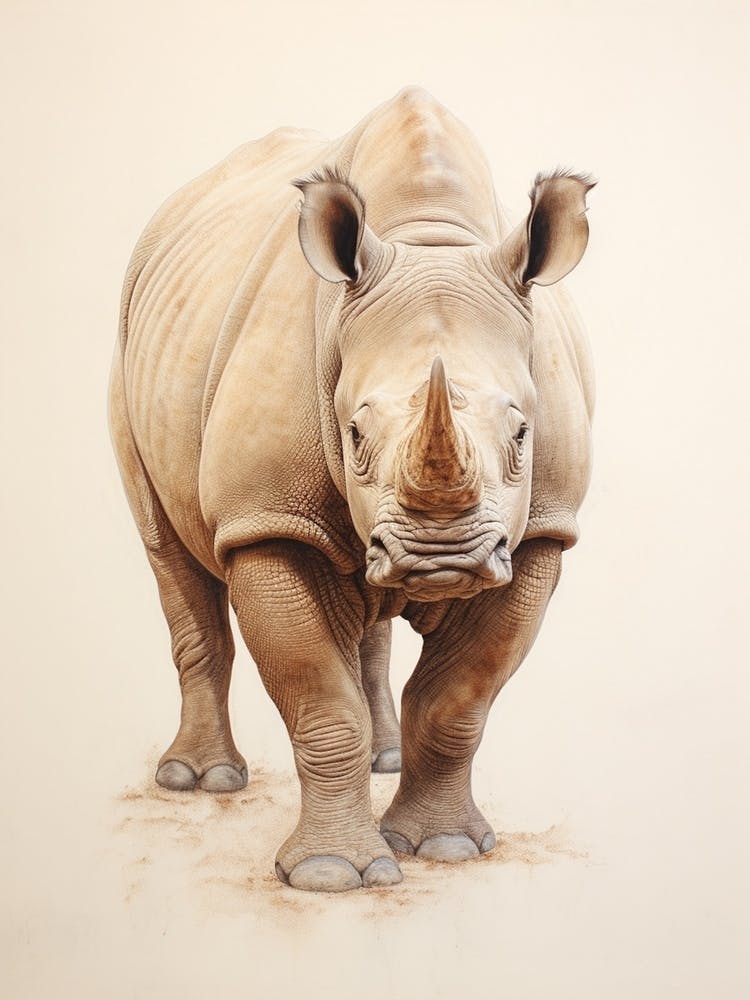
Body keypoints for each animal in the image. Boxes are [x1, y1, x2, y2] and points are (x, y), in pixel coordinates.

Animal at [109, 86, 594, 893]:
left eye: (523, 434)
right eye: (356, 436)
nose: (442, 559)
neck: (429, 241)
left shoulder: (542, 529)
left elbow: (459, 699)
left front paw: (444, 848)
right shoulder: (267, 517)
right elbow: (319, 697)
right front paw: (331, 874)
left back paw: (383, 761)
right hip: (126, 354)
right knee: (168, 551)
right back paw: (201, 782)